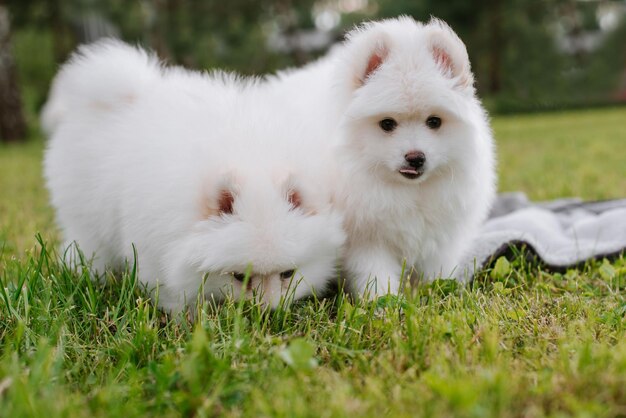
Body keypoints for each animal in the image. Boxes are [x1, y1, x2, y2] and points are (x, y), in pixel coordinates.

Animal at [42, 40, 346, 312]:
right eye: (239, 277)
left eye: (288, 274)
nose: (268, 311)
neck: (252, 159)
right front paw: (188, 319)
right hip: (86, 218)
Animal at [270, 16, 494, 298]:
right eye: (387, 124)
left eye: (434, 122)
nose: (415, 157)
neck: (408, 192)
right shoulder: (366, 240)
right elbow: (375, 274)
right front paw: (383, 302)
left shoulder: (439, 237)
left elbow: (436, 271)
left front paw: (439, 292)